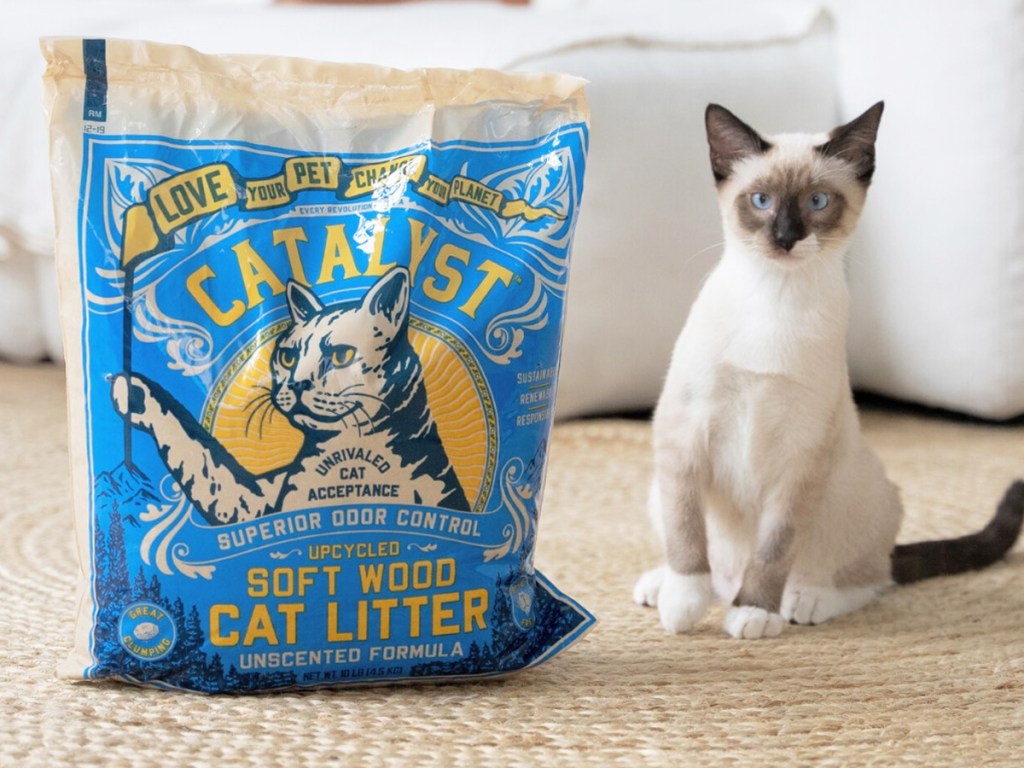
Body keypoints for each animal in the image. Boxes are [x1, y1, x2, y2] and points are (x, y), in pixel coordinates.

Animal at [630, 103, 1024, 643]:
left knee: (873, 577)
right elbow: (687, 536)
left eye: (817, 202)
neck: (775, 296)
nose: (786, 238)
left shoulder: (800, 454)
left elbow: (774, 549)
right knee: (709, 564)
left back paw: (800, 600)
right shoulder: (684, 433)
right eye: (761, 201)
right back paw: (665, 587)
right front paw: (682, 605)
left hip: (860, 491)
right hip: (659, 485)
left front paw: (754, 612)